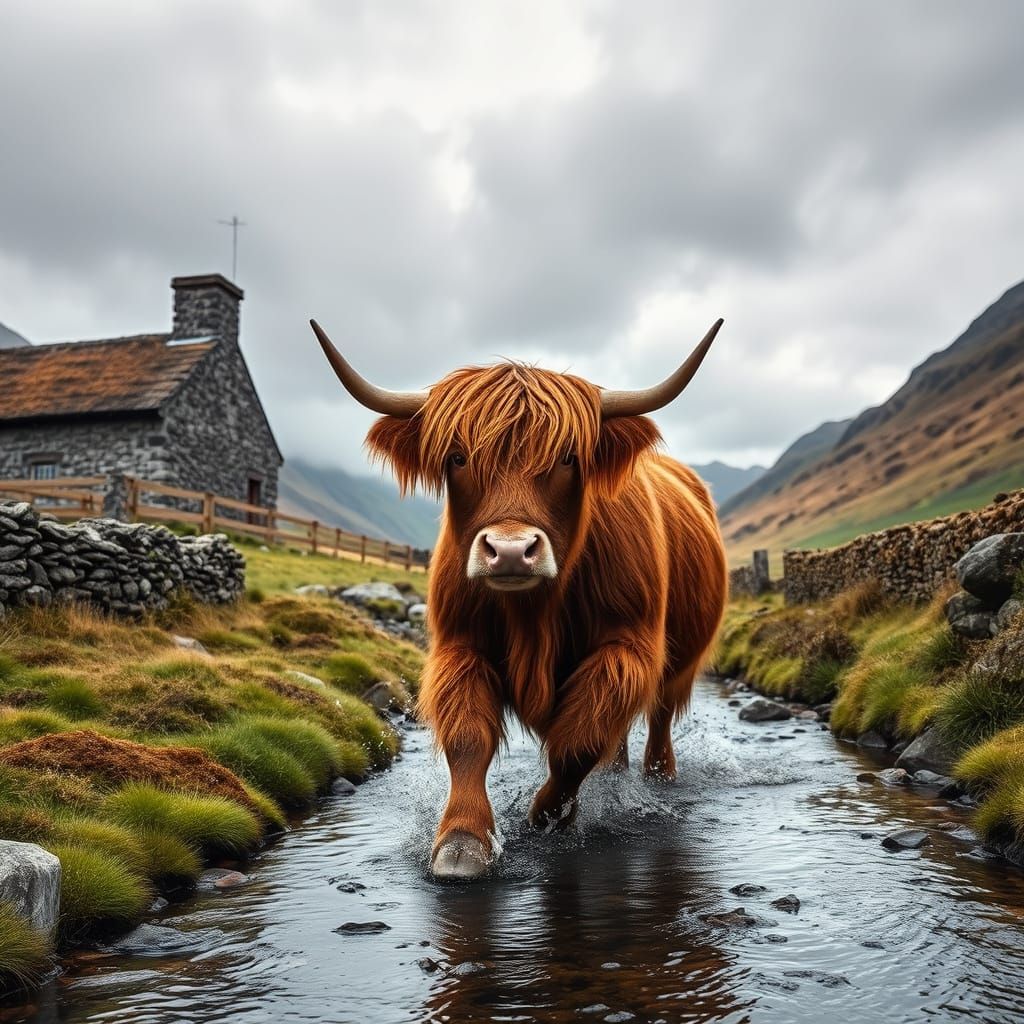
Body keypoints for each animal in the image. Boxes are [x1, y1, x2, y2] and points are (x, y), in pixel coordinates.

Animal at [311, 319, 729, 879]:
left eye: (568, 458)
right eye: (458, 457)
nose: (510, 551)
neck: (535, 615)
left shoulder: (629, 647)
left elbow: (578, 739)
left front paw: (548, 814)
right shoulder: (460, 645)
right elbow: (470, 737)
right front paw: (462, 841)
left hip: (679, 664)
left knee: (658, 719)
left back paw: (658, 779)